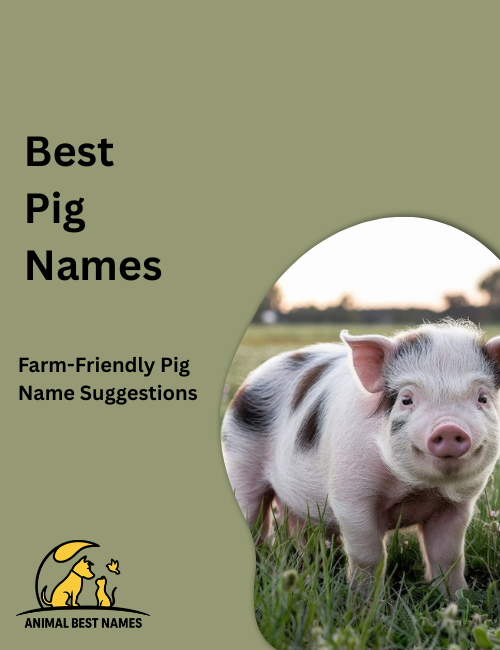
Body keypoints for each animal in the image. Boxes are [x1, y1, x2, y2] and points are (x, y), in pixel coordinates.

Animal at [221, 320, 500, 595]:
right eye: (406, 399)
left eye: (483, 398)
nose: (449, 427)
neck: (416, 488)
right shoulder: (351, 496)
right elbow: (370, 557)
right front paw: (365, 601)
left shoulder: (459, 503)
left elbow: (448, 555)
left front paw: (456, 598)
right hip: (239, 460)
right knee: (254, 516)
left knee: (298, 525)